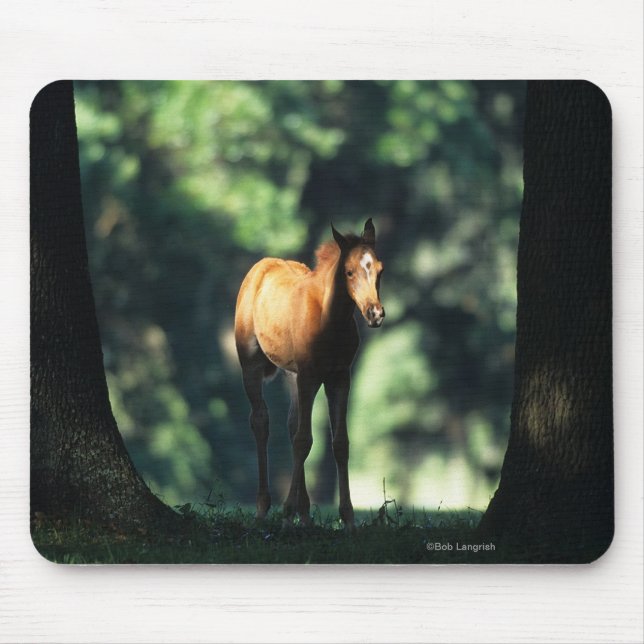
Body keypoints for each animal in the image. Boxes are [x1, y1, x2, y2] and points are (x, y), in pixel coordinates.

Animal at [234, 218, 385, 530]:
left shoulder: (339, 377)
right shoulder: (310, 376)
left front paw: (348, 518)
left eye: (379, 269)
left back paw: (303, 514)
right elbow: (304, 440)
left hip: (292, 375)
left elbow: (339, 443)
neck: (330, 321)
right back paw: (264, 508)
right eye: (349, 271)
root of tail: (260, 267)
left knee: (292, 425)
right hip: (251, 365)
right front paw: (287, 512)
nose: (375, 313)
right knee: (261, 421)